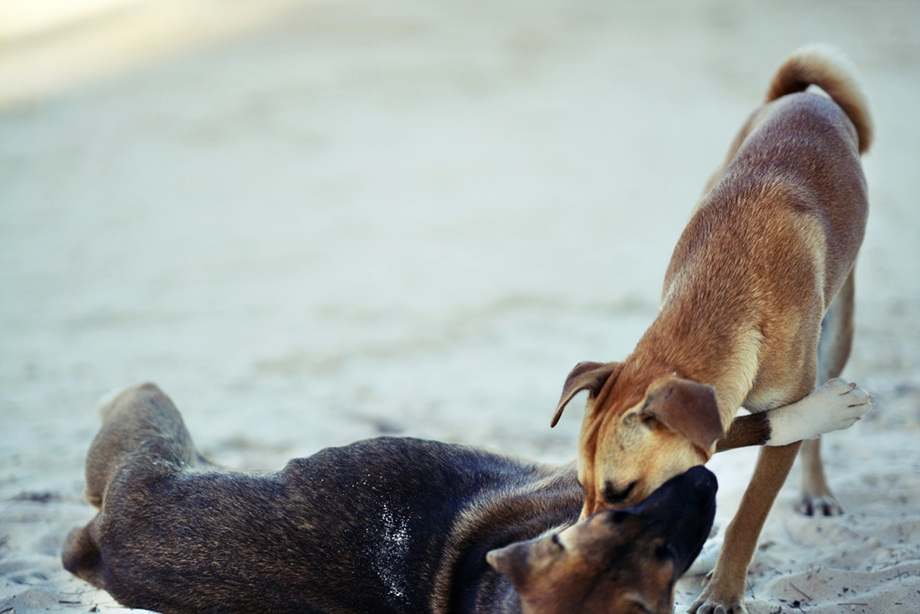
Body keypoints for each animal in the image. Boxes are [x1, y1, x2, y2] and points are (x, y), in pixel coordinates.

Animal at [61, 380, 863, 613]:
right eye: (658, 552)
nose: (700, 488)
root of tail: (100, 547)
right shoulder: (569, 478)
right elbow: (737, 428)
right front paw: (820, 409)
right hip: (150, 428)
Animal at [549, 45, 873, 613]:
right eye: (582, 486)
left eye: (621, 493)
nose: (574, 553)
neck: (718, 302)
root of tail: (803, 97)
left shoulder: (784, 411)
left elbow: (749, 513)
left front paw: (723, 591)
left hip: (838, 329)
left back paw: (816, 489)